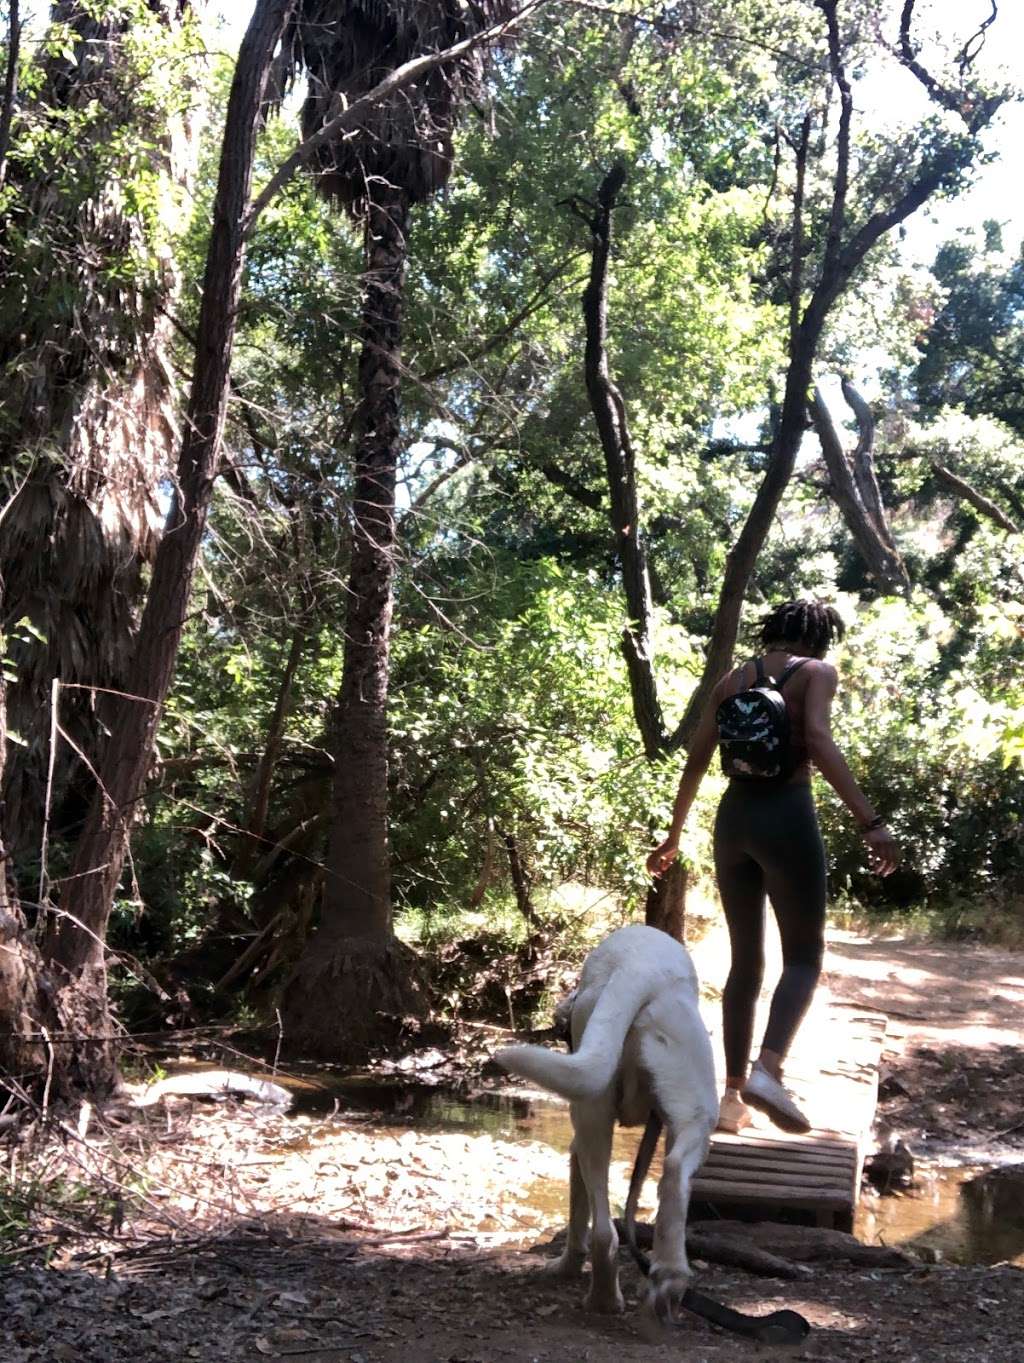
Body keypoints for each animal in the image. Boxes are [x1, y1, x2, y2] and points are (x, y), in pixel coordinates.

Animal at [493, 921, 714, 1313]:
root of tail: (639, 970)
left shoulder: (574, 1147)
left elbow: (577, 1214)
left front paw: (565, 1267)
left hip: (592, 1115)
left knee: (602, 1231)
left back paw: (604, 1300)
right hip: (693, 1111)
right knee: (670, 1176)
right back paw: (667, 1277)